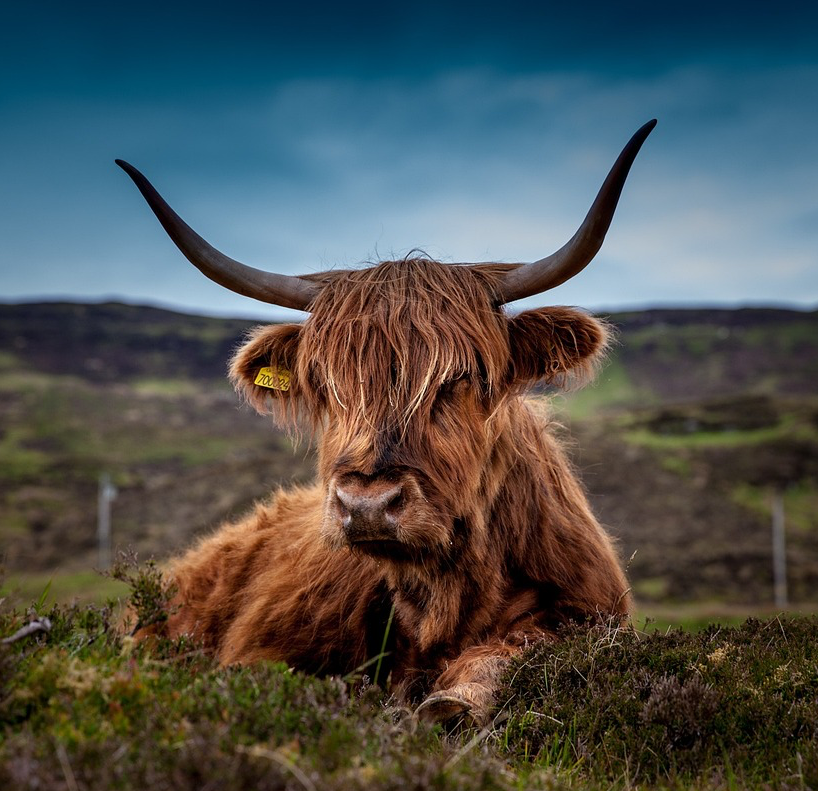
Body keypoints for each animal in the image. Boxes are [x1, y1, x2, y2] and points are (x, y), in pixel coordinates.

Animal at [116, 120, 656, 724]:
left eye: (463, 376)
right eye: (325, 383)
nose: (367, 505)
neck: (443, 598)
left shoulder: (588, 613)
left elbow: (516, 649)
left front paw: (454, 700)